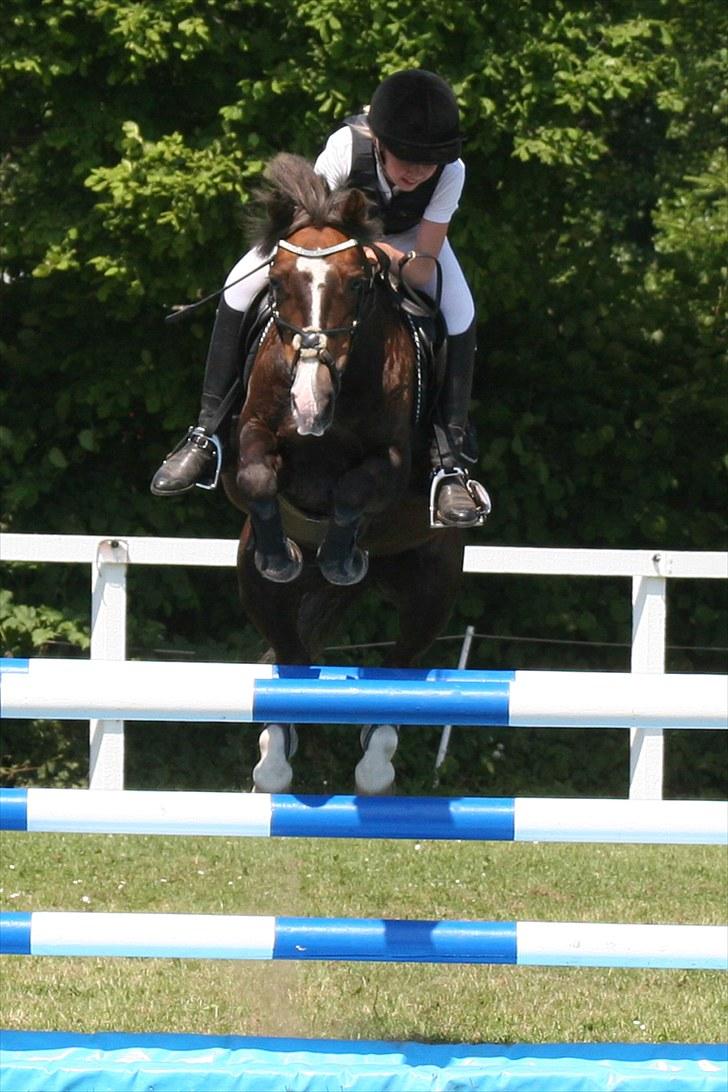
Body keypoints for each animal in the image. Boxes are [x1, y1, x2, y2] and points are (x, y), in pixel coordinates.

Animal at [220, 153, 467, 794]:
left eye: (357, 284)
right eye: (278, 284)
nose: (310, 402)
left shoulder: (393, 462)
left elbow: (355, 488)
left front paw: (340, 554)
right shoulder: (254, 434)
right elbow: (256, 479)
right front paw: (285, 554)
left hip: (434, 585)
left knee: (401, 667)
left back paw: (375, 765)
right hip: (254, 586)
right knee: (291, 656)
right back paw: (274, 760)